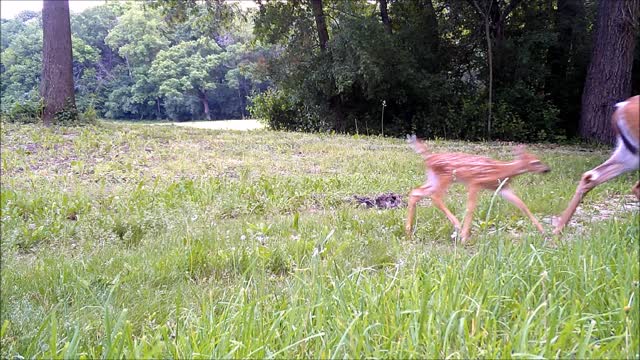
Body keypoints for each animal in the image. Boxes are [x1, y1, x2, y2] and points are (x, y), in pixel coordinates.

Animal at [404, 136, 552, 243]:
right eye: (536, 162)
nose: (547, 169)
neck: (502, 171)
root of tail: (429, 158)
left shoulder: (502, 188)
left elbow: (522, 205)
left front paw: (543, 231)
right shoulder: (475, 182)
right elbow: (471, 208)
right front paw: (464, 237)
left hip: (433, 178)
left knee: (415, 192)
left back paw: (408, 232)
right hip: (445, 177)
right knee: (435, 197)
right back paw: (457, 224)